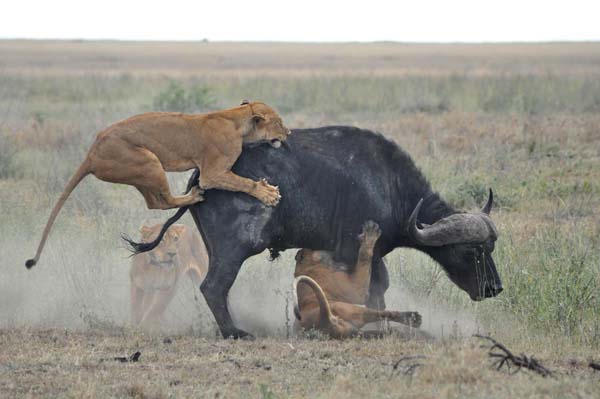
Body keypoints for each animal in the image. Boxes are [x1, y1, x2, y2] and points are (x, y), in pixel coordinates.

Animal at [129, 126, 504, 340]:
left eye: (491, 248)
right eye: (471, 251)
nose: (495, 288)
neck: (390, 185)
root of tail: (200, 178)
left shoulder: (374, 254)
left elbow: (379, 290)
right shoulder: (355, 251)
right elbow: (371, 290)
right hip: (236, 248)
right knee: (213, 286)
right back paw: (235, 332)